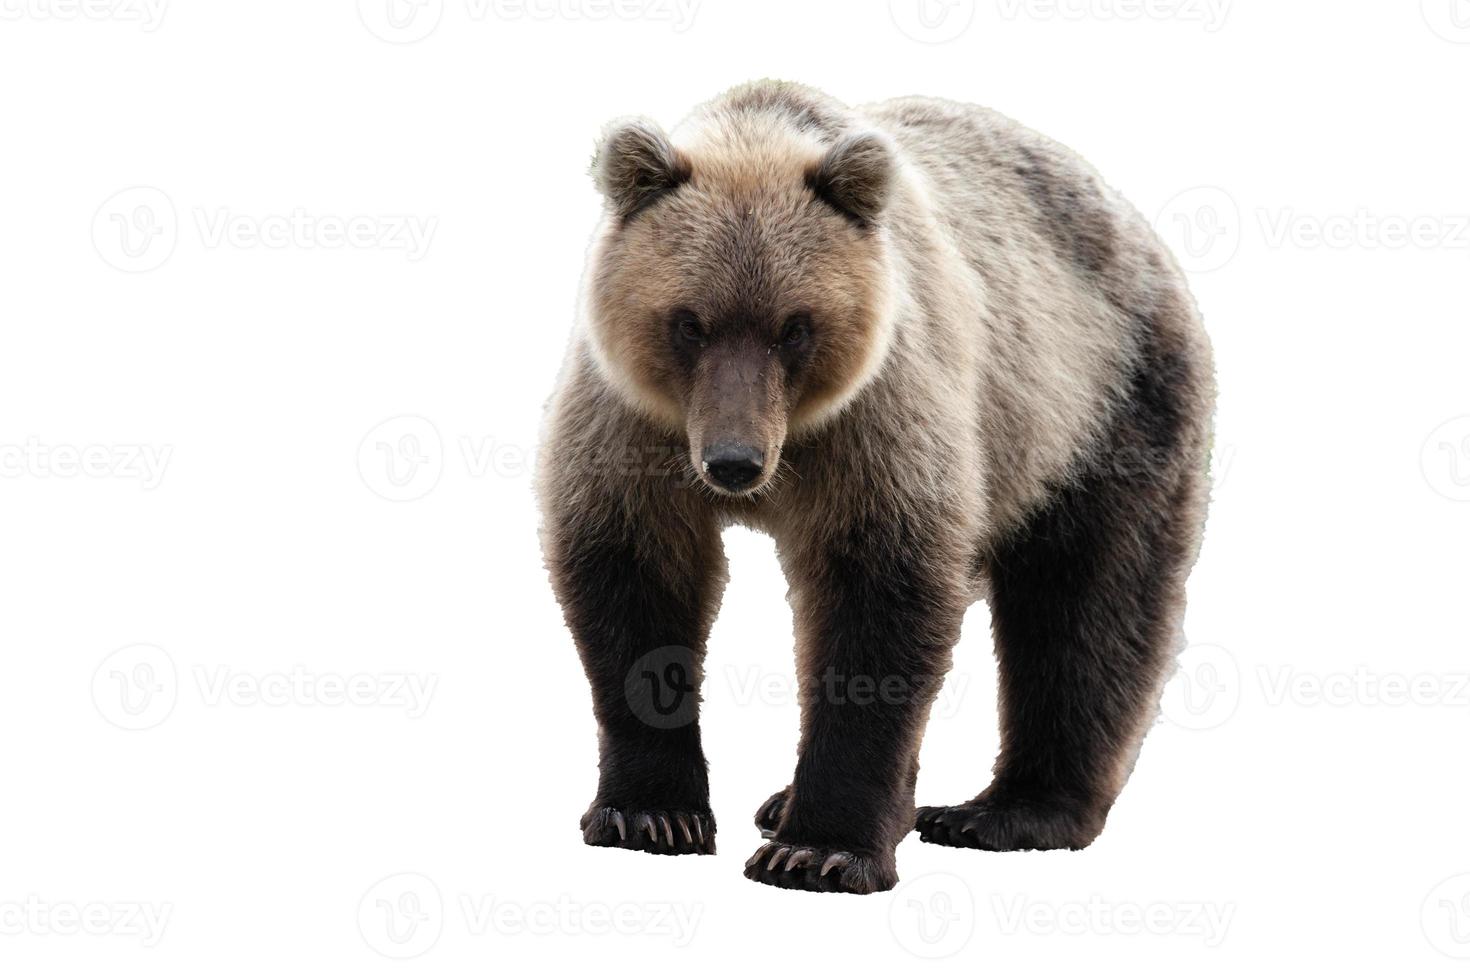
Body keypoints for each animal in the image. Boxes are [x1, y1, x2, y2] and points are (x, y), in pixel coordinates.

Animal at [535, 80, 1211, 893]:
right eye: (689, 322)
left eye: (795, 326)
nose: (734, 464)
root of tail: (1131, 220)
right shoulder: (633, 428)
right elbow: (633, 585)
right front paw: (652, 815)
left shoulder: (878, 421)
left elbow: (878, 602)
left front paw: (817, 850)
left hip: (1098, 407)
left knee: (1087, 607)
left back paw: (1003, 811)